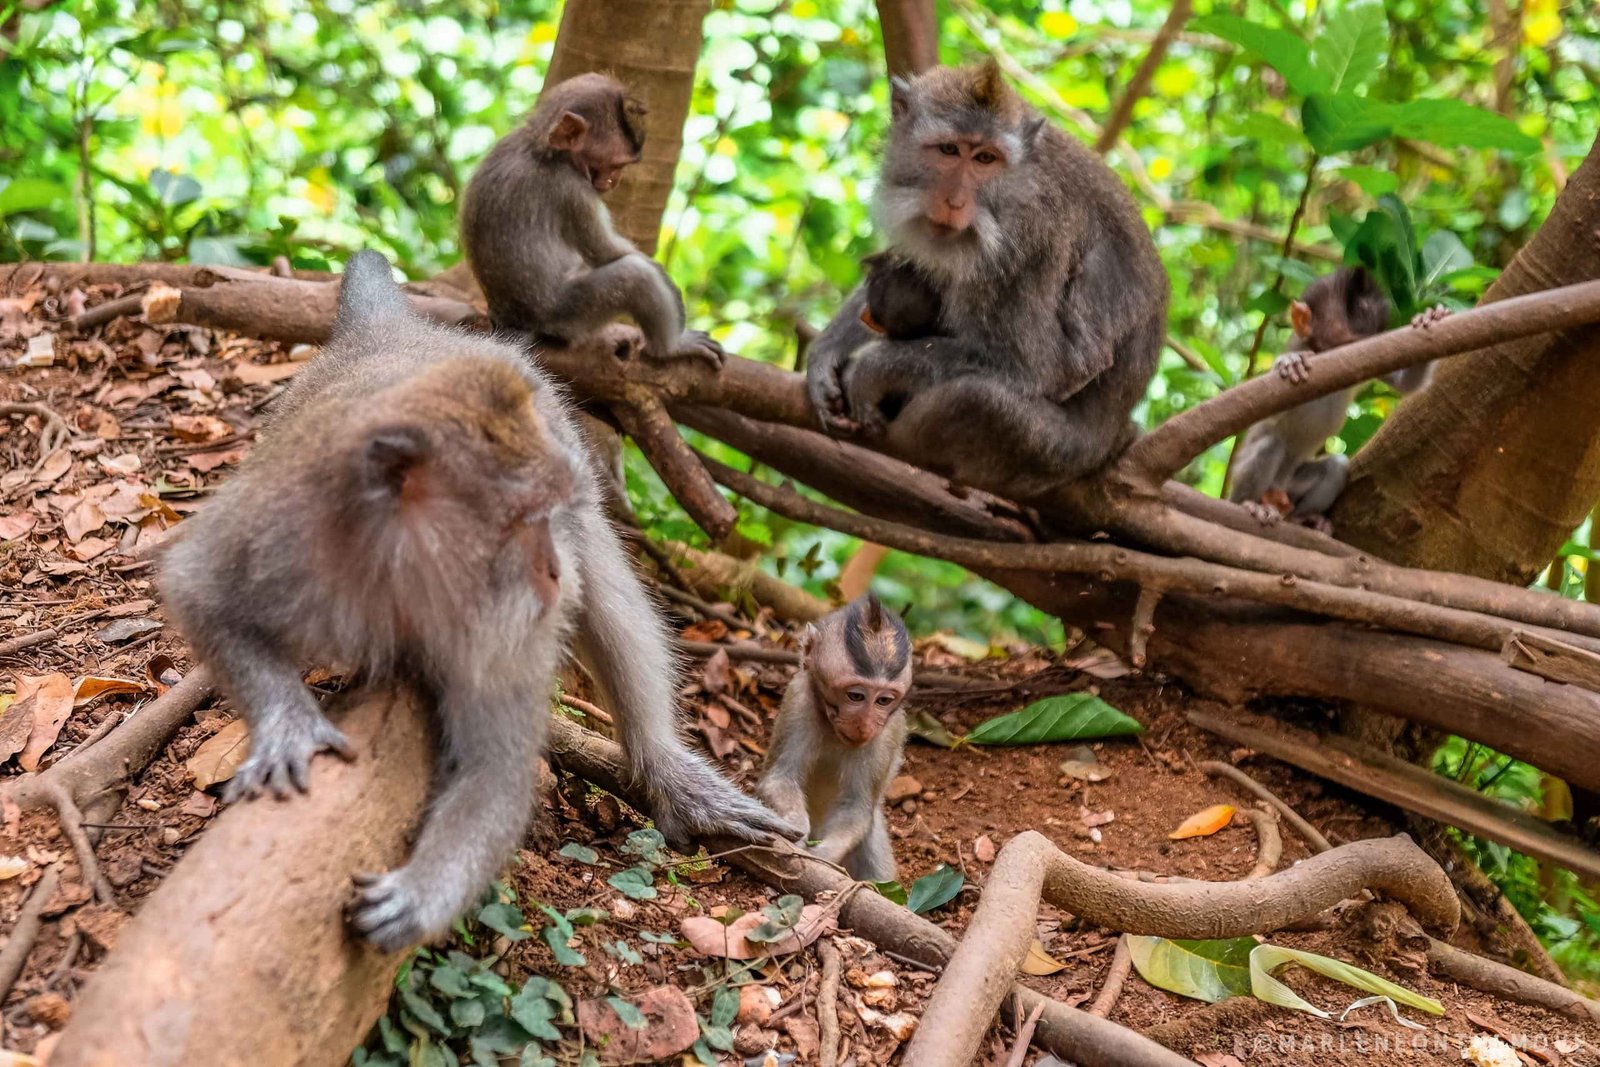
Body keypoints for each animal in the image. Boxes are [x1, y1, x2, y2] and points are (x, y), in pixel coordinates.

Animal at [159, 251, 793, 953]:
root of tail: (389, 333)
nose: (550, 570)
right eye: (522, 518)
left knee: (601, 582)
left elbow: (497, 770)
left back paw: (666, 769)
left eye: (550, 512)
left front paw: (423, 895)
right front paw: (287, 725)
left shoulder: (499, 626)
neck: (396, 566)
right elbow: (196, 586)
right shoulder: (285, 524)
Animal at [460, 72, 723, 369]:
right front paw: (669, 287)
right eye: (616, 164)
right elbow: (608, 252)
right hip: (569, 316)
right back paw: (671, 347)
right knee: (634, 276)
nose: (614, 181)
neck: (541, 148)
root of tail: (514, 321)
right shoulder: (574, 192)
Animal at [757, 595, 912, 882]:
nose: (864, 725)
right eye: (855, 696)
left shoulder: (886, 734)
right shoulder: (800, 698)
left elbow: (856, 808)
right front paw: (798, 835)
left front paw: (823, 856)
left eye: (883, 700)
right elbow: (779, 779)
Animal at [804, 61, 1168, 502]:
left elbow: (1043, 369)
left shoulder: (1028, 241)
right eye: (949, 150)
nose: (955, 201)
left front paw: (872, 369)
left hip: (1053, 452)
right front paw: (827, 352)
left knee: (975, 399)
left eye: (985, 158)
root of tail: (1115, 435)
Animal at [1228, 266, 1446, 528]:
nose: (1356, 361)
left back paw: (1302, 517)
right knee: (1268, 445)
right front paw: (1289, 362)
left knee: (1335, 466)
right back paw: (1248, 504)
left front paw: (1429, 317)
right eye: (1345, 347)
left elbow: (1407, 384)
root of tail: (1276, 490)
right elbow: (1261, 408)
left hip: (1291, 485)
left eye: (1365, 348)